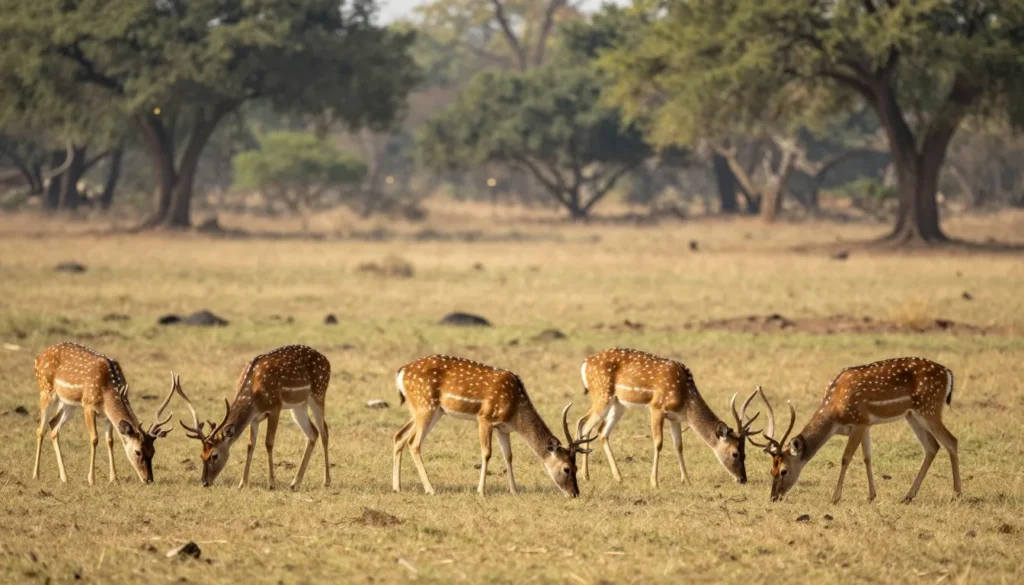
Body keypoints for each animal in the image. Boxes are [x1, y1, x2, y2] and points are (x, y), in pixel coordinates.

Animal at [32, 341, 175, 485]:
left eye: (153, 451)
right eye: (138, 452)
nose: (148, 479)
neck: (107, 391)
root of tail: (38, 357)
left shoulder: (107, 416)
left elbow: (110, 441)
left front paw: (114, 479)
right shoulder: (88, 405)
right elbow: (94, 438)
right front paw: (91, 479)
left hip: (68, 404)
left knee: (53, 424)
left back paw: (64, 477)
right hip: (46, 390)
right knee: (40, 430)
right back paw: (36, 475)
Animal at [174, 344, 331, 490]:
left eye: (214, 455)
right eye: (201, 455)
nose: (205, 482)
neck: (254, 392)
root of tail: (326, 360)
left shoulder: (275, 407)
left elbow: (269, 443)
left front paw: (271, 483)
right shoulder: (254, 418)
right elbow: (251, 445)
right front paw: (242, 483)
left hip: (318, 392)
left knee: (324, 431)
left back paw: (326, 481)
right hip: (298, 405)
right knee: (312, 433)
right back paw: (294, 483)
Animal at [392, 355, 595, 497]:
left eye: (577, 468)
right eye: (566, 468)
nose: (575, 493)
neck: (515, 410)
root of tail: (400, 373)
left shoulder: (503, 428)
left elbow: (508, 456)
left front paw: (514, 490)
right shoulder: (485, 418)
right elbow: (487, 453)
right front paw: (481, 491)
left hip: (429, 410)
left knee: (399, 435)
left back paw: (397, 487)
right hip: (425, 405)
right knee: (413, 442)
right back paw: (430, 489)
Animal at [574, 348, 761, 487]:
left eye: (745, 452)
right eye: (735, 453)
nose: (743, 479)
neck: (685, 398)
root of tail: (584, 364)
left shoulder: (675, 417)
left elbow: (679, 445)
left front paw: (687, 480)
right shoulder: (656, 407)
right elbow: (658, 443)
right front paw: (654, 482)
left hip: (619, 403)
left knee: (601, 431)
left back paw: (617, 477)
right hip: (601, 393)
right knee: (583, 423)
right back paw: (585, 475)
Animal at [751, 357, 961, 503]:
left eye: (784, 471)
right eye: (771, 470)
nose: (774, 497)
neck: (835, 412)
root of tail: (948, 373)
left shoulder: (859, 422)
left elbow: (846, 457)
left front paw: (835, 497)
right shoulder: (866, 424)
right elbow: (867, 456)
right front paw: (871, 495)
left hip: (929, 408)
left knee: (951, 441)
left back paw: (956, 494)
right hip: (912, 414)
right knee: (932, 446)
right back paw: (908, 496)